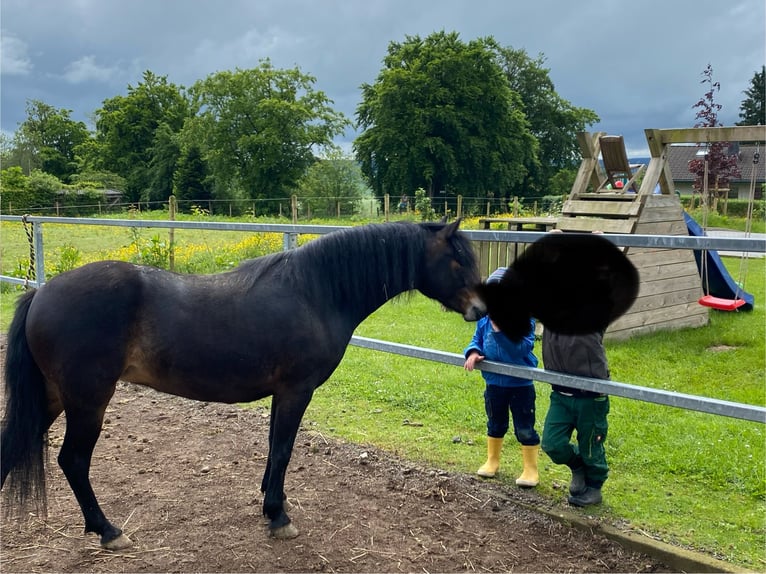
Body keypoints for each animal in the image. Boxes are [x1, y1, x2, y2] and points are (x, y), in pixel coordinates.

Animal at [3, 219, 486, 548]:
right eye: (457, 259)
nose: (481, 309)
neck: (316, 292)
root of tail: (40, 293)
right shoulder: (296, 391)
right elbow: (285, 449)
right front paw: (278, 516)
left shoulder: (282, 394)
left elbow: (275, 447)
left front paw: (271, 501)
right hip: (87, 402)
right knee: (73, 461)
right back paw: (108, 531)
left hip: (52, 397)